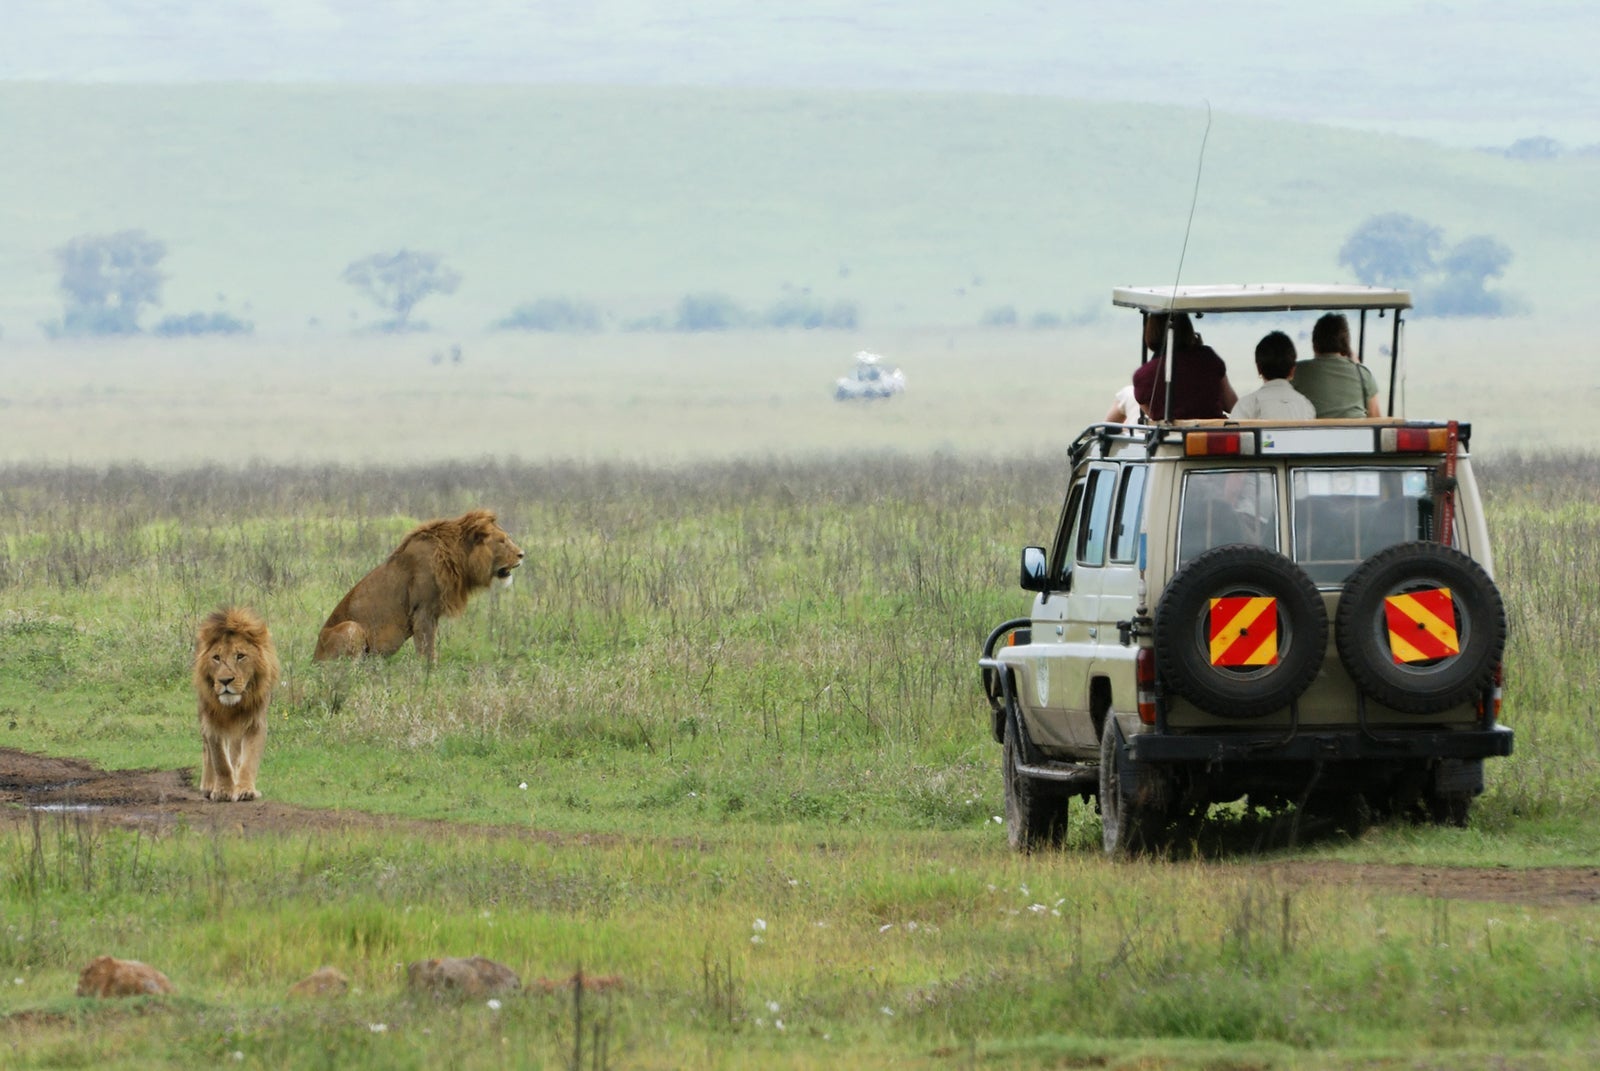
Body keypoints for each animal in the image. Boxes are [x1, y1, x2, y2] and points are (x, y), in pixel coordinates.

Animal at [193, 606, 279, 803]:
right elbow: (220, 761)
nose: (225, 681)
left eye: (240, 656)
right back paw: (209, 785)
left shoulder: (255, 723)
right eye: (216, 657)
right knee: (207, 750)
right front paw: (223, 791)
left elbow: (249, 761)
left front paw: (246, 790)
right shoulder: (212, 723)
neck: (232, 708)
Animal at [313, 509, 525, 663]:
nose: (522, 554)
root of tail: (314, 658)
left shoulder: (433, 613)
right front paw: (428, 676)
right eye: (502, 540)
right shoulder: (423, 611)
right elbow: (426, 649)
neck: (457, 556)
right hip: (351, 627)